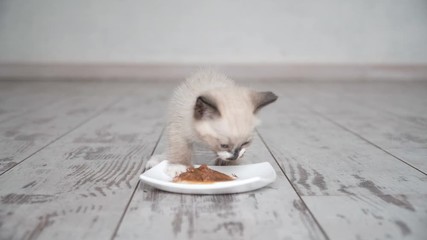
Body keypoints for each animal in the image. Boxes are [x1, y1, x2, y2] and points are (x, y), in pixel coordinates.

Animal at [146, 70, 278, 176]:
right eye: (224, 145)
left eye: (245, 143)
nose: (235, 155)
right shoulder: (179, 128)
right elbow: (180, 148)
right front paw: (178, 166)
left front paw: (232, 164)